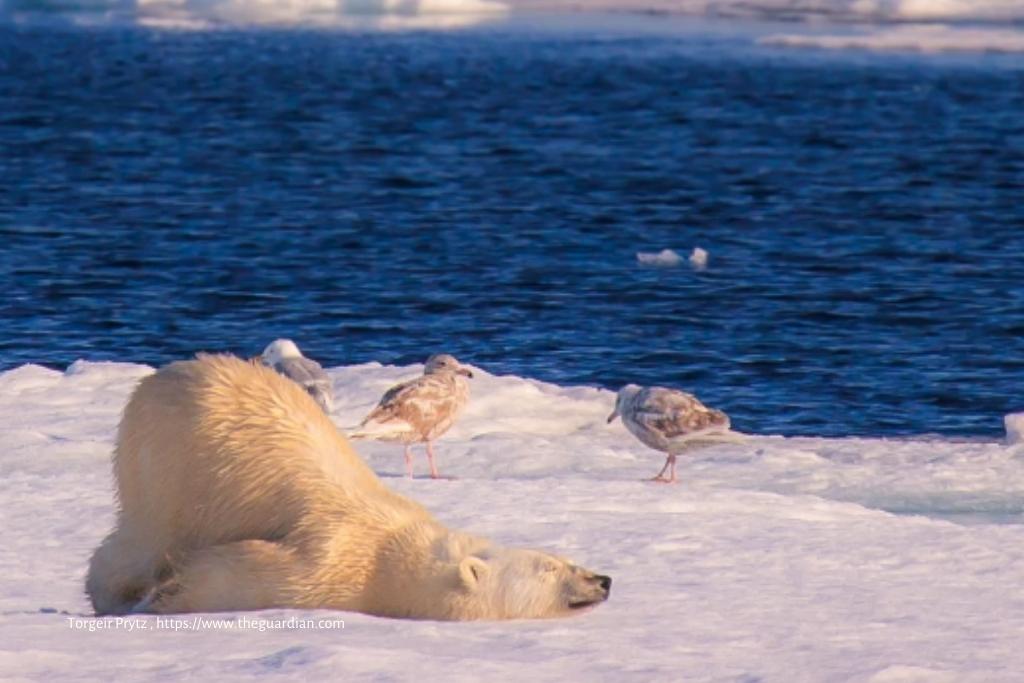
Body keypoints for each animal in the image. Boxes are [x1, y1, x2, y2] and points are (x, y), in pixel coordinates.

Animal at [86, 356, 606, 622]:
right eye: (548, 568)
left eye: (564, 558)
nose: (603, 580)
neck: (393, 547)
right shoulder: (332, 554)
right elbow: (244, 570)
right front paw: (168, 595)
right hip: (166, 460)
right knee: (145, 536)